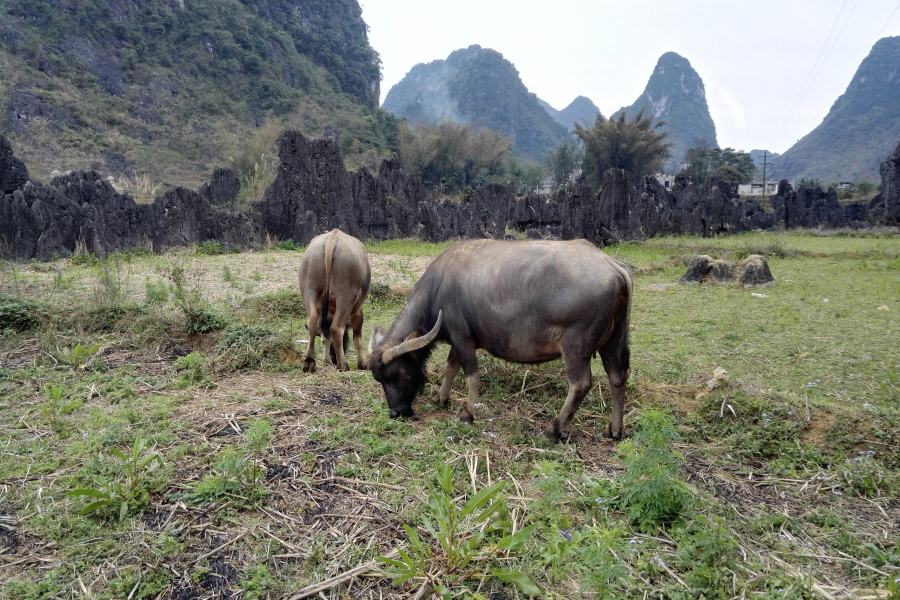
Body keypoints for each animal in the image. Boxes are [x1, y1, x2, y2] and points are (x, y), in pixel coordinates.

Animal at [298, 230, 370, 370]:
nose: (334, 359)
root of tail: (331, 239)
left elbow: (324, 337)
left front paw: (327, 361)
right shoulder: (357, 310)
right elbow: (357, 338)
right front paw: (363, 363)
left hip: (309, 289)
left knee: (313, 322)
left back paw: (309, 361)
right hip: (345, 297)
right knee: (336, 328)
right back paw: (343, 365)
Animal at [366, 239, 632, 440]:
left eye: (390, 375)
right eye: (377, 378)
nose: (395, 413)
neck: (438, 288)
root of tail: (611, 265)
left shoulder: (462, 338)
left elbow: (471, 375)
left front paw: (469, 413)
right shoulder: (458, 340)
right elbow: (450, 367)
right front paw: (441, 398)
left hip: (575, 346)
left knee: (580, 384)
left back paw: (554, 428)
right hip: (614, 339)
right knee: (617, 377)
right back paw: (613, 430)